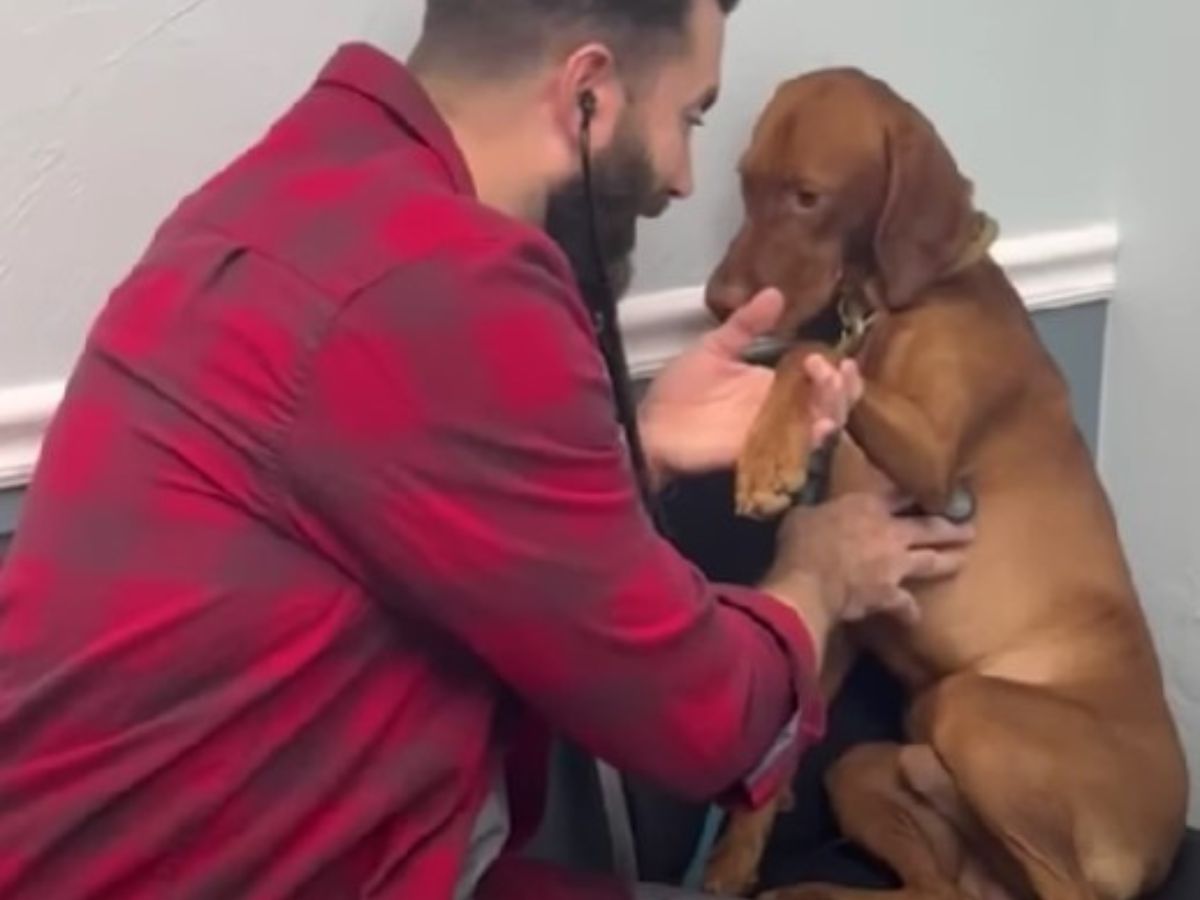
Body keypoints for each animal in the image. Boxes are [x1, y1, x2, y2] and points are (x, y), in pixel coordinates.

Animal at [700, 68, 1185, 900]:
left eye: (807, 195)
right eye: (746, 182)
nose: (719, 303)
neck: (902, 305)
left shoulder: (930, 461)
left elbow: (809, 356)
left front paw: (768, 458)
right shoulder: (846, 610)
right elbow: (788, 745)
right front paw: (734, 859)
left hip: (969, 709)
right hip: (869, 768)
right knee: (936, 887)